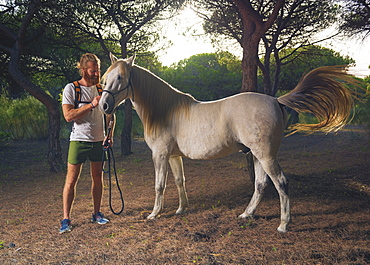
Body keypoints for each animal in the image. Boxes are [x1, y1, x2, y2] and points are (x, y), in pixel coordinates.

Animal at [98, 53, 356, 231]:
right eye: (105, 78)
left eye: (120, 77)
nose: (104, 106)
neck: (165, 110)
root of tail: (275, 100)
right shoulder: (174, 156)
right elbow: (180, 181)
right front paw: (181, 209)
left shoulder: (160, 155)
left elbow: (159, 185)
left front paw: (154, 214)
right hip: (257, 155)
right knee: (260, 184)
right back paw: (247, 214)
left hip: (266, 155)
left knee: (281, 182)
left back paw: (284, 224)